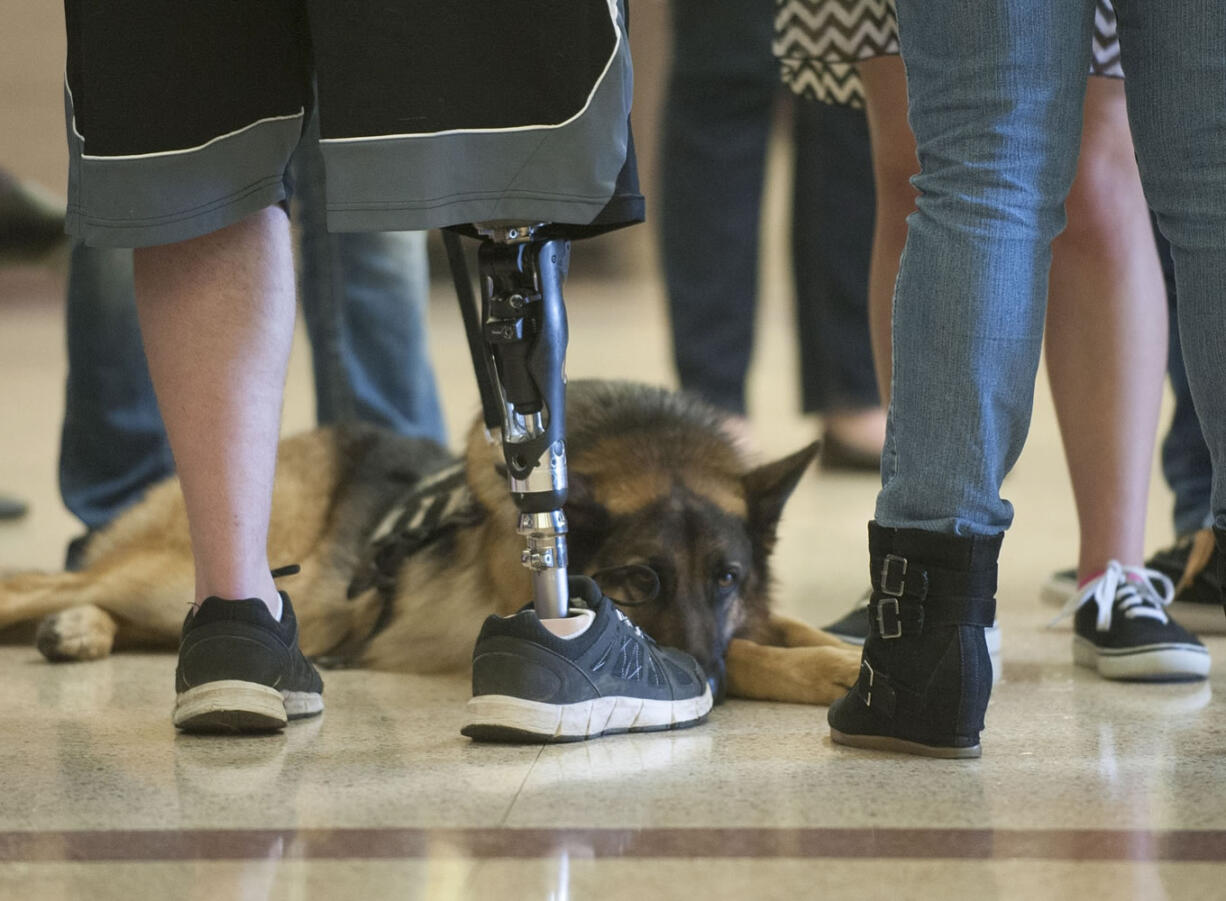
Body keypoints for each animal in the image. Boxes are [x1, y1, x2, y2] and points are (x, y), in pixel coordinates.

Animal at [0, 380, 863, 706]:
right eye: (641, 582)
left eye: (726, 577)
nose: (704, 679)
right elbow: (753, 651)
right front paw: (820, 672)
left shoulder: (744, 612)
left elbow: (781, 626)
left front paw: (848, 652)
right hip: (178, 569)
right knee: (38, 582)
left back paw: (78, 632)